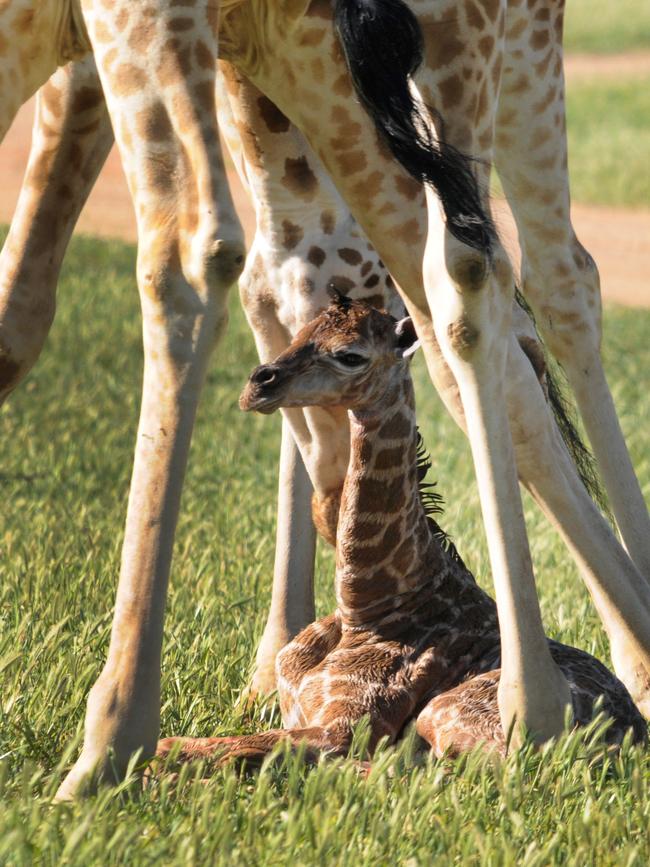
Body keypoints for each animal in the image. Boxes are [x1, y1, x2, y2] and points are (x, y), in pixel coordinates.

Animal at [156, 296, 644, 768]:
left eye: (350, 355)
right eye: (298, 333)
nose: (258, 385)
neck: (363, 607)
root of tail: (633, 738)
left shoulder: (345, 728)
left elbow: (201, 745)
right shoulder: (293, 706)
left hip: (449, 714)